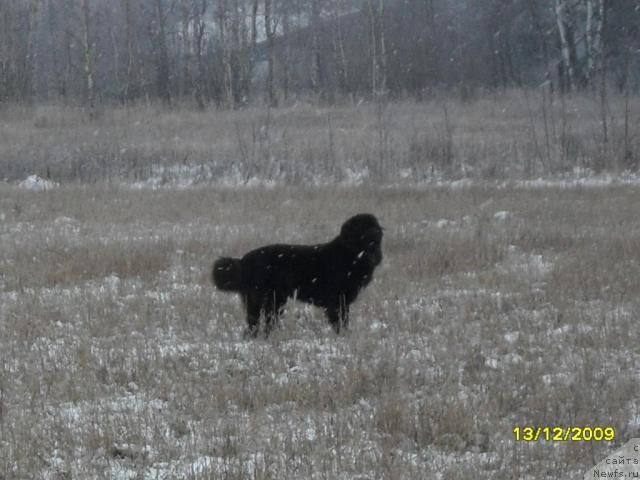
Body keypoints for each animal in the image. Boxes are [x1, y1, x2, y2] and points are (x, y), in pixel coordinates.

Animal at [212, 214, 382, 338]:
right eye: (363, 227)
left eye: (374, 225)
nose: (376, 232)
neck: (351, 255)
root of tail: (243, 260)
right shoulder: (338, 301)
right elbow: (340, 322)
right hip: (270, 299)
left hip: (263, 301)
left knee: (255, 324)